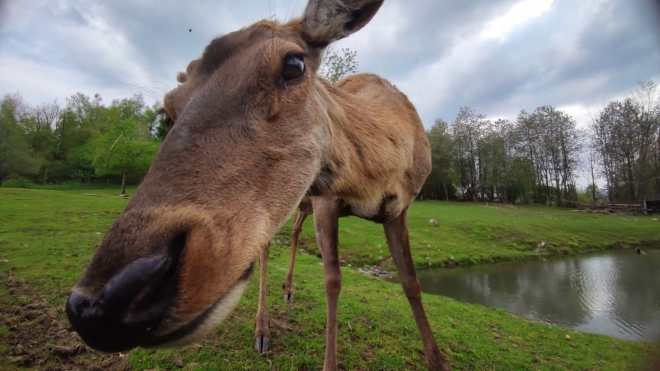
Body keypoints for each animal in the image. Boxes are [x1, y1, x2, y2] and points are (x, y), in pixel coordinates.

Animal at [64, 1, 452, 370]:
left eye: (294, 65)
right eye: (168, 112)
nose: (101, 303)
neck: (377, 177)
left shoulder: (399, 207)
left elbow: (411, 282)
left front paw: (437, 360)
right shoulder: (326, 202)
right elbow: (333, 280)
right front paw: (329, 363)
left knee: (294, 231)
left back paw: (288, 289)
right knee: (267, 247)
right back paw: (262, 329)